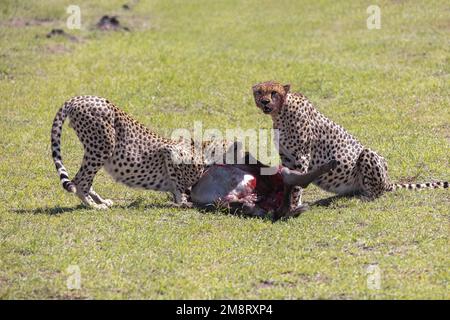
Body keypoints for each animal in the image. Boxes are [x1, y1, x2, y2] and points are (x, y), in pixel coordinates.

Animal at [51, 95, 230, 210]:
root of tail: (80, 98)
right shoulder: (170, 152)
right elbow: (179, 186)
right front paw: (183, 201)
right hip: (103, 147)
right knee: (79, 181)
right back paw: (94, 205)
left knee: (84, 181)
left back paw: (100, 201)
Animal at [251, 81, 448, 211]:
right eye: (259, 92)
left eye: (274, 93)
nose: (265, 102)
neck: (280, 113)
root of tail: (388, 182)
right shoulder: (286, 157)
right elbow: (289, 180)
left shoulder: (301, 156)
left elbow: (297, 184)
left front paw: (293, 205)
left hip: (369, 155)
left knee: (376, 192)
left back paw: (362, 198)